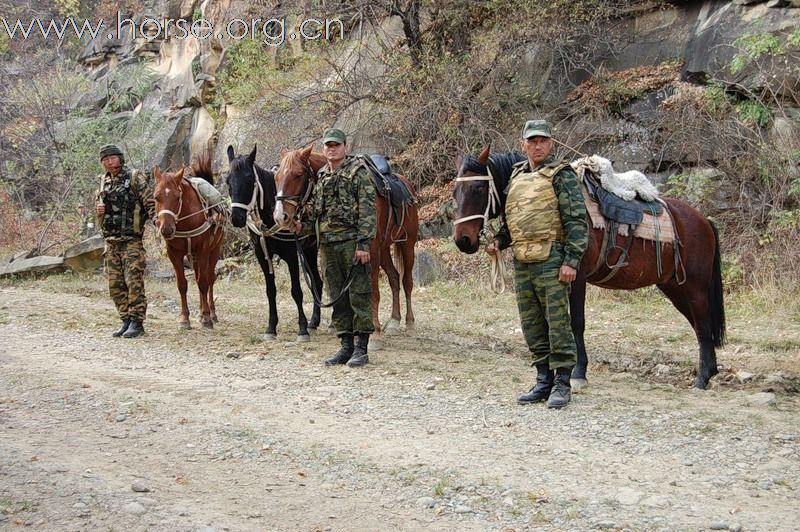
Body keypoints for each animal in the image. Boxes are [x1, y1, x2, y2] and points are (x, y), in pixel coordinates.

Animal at [153, 145, 225, 328]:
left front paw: (207, 318)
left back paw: (211, 313)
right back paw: (200, 312)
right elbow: (182, 284)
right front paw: (185, 318)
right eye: (156, 196)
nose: (166, 229)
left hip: (214, 250)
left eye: (177, 197)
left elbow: (203, 282)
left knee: (210, 278)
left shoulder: (204, 250)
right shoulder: (174, 253)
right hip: (193, 256)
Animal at [225, 144, 322, 340]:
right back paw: (314, 322)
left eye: (249, 179)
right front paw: (271, 327)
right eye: (227, 180)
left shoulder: (291, 256)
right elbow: (270, 291)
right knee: (317, 282)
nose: (237, 218)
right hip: (308, 251)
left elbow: (296, 291)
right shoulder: (262, 256)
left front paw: (302, 329)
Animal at [270, 145, 418, 350]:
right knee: (394, 278)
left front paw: (374, 335)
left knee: (407, 281)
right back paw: (395, 321)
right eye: (276, 177)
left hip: (407, 244)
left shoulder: (369, 252)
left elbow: (372, 292)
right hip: (384, 250)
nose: (280, 216)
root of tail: (406, 184)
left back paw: (410, 323)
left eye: (298, 175)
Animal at [456, 148, 724, 388]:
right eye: (456, 191)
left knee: (703, 325)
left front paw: (578, 371)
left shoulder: (576, 277)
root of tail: (704, 221)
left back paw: (702, 379)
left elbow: (576, 322)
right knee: (700, 325)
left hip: (695, 287)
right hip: (675, 287)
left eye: (478, 189)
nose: (463, 240)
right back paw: (709, 372)